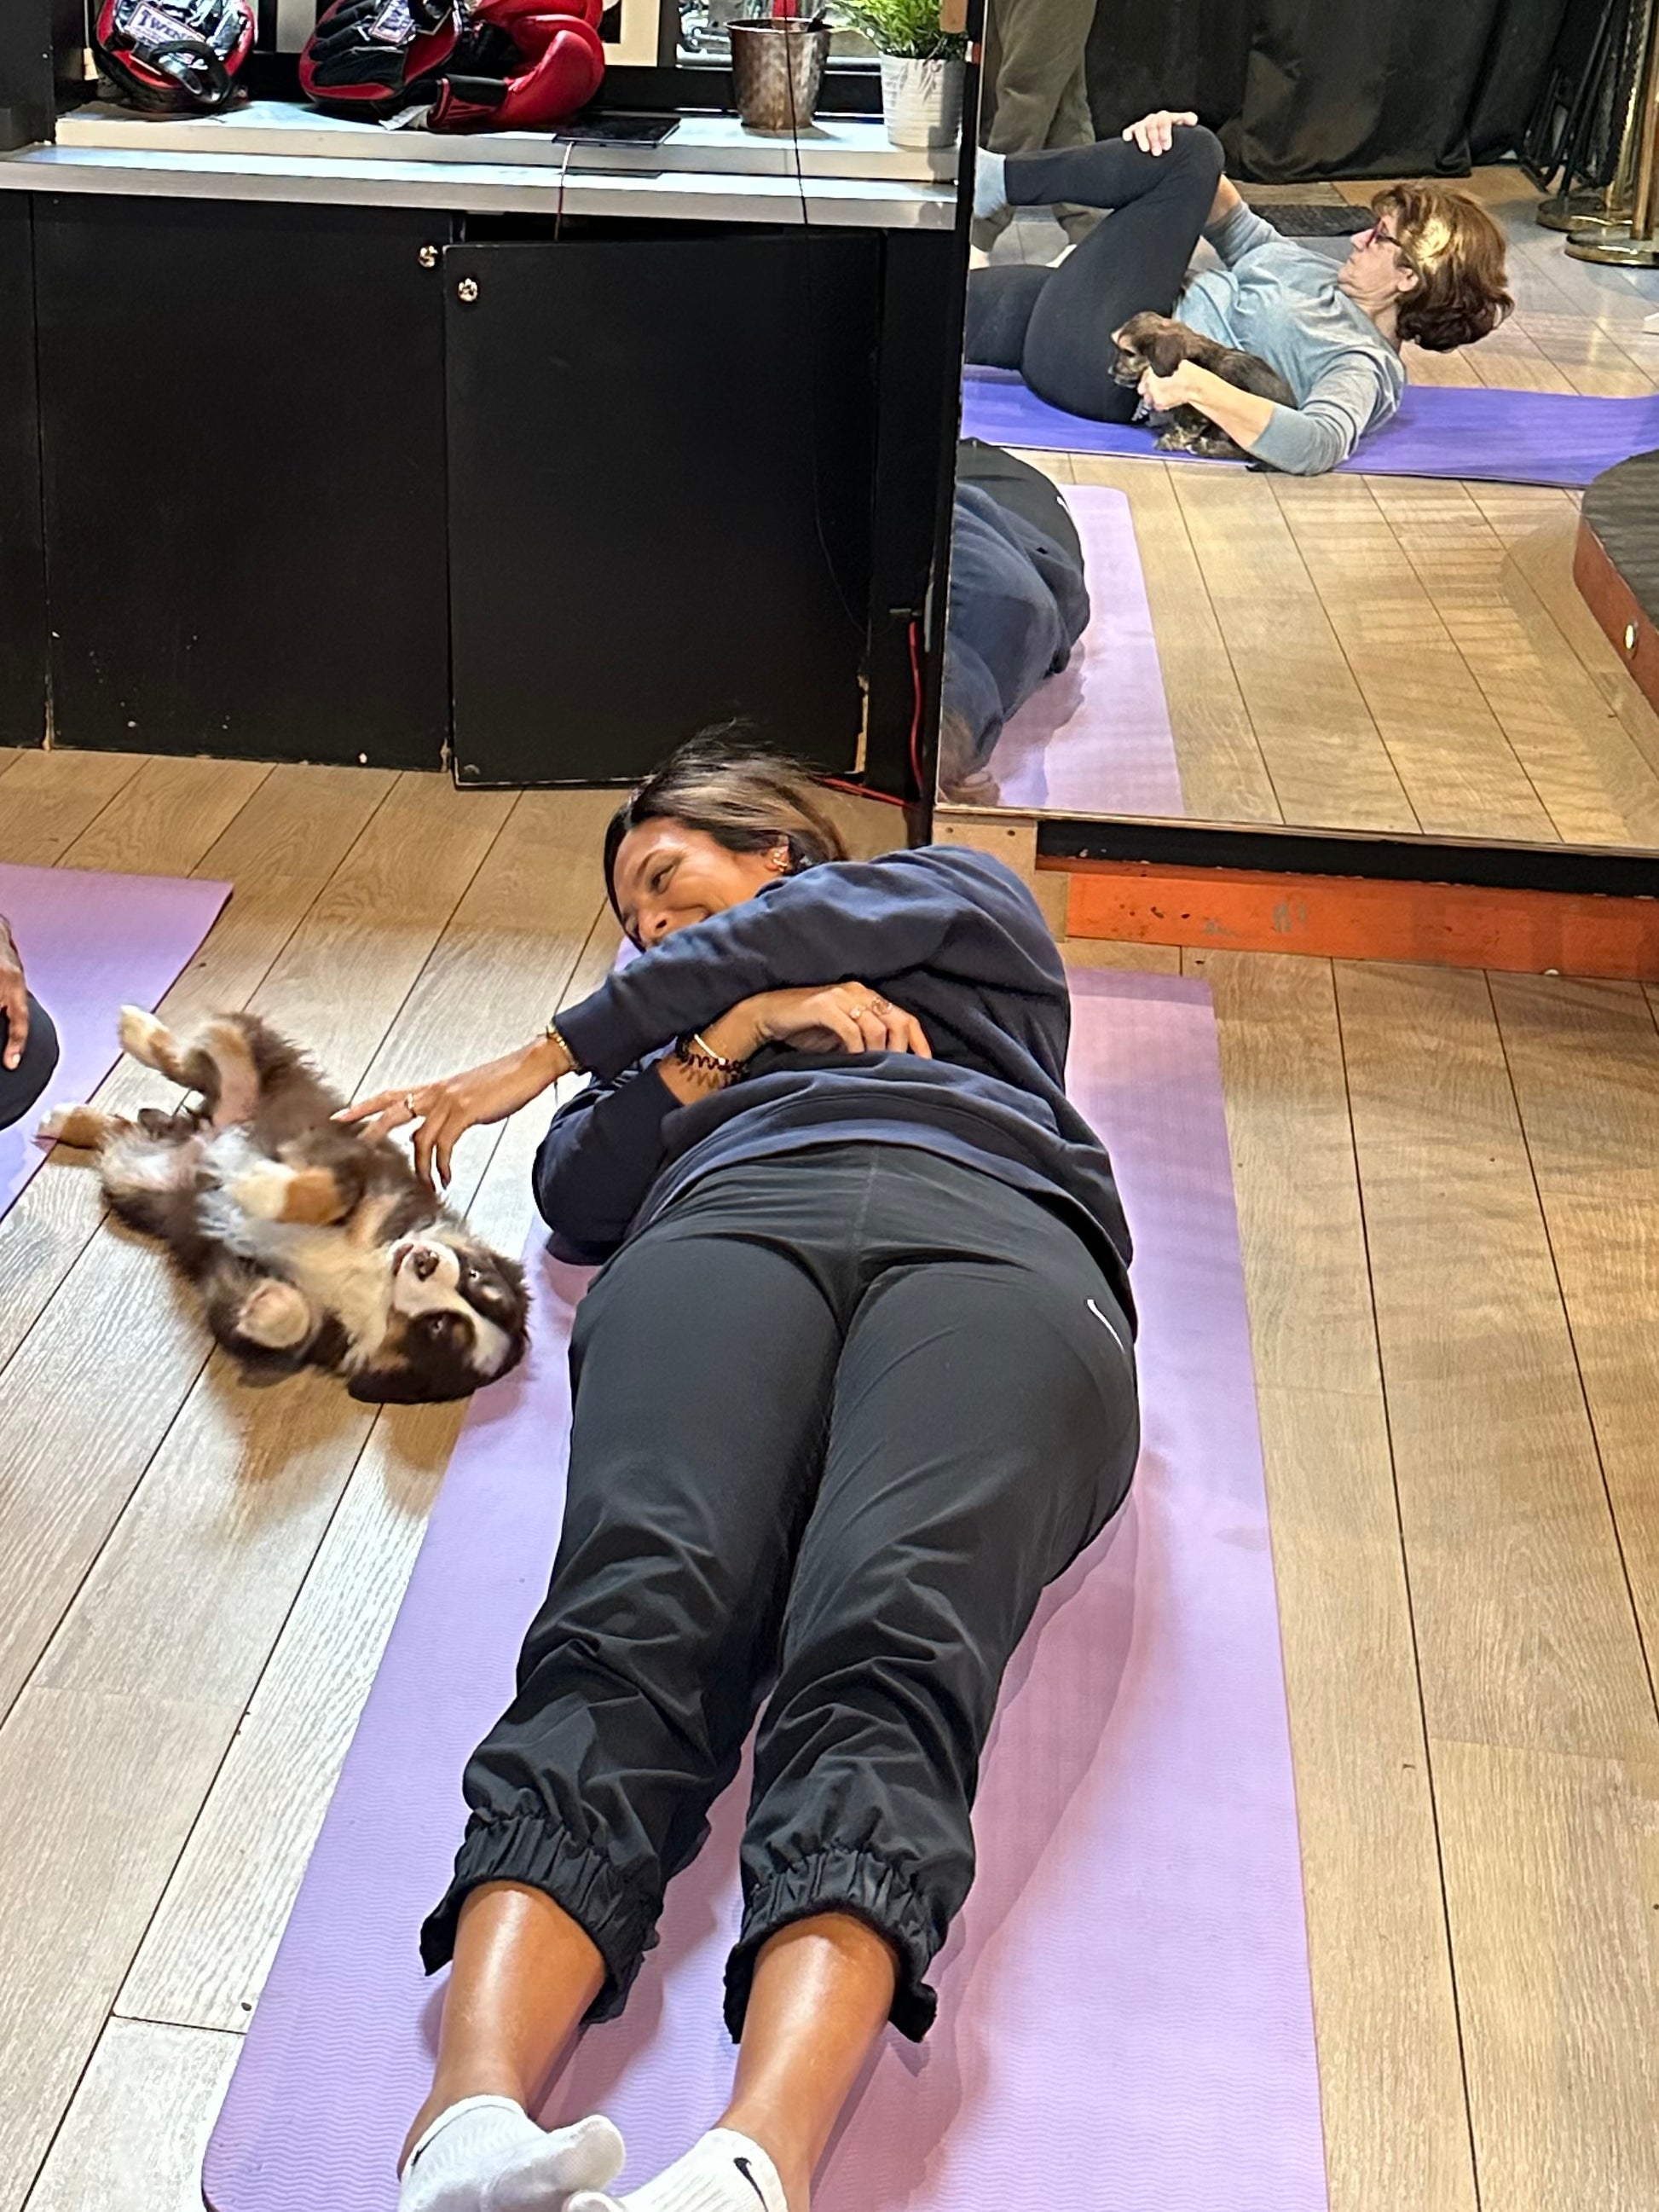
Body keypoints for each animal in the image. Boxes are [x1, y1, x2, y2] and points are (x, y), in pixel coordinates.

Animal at [40, 1007, 529, 1402]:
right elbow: (329, 1192)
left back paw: (64, 1118)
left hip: (134, 1179)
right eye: (475, 1275)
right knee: (207, 1048)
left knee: (117, 1133)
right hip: (256, 1069)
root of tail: (195, 1131)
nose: (425, 1259)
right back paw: (136, 1028)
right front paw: (256, 1185)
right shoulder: (358, 1163)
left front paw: (265, 1307)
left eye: (437, 1328)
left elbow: (286, 1322)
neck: (373, 1278)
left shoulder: (271, 1303)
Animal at [1112, 312, 1296, 462]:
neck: (1189, 358)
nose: (1111, 372)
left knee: (1245, 451)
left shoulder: (1196, 411)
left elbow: (1186, 427)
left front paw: (1170, 440)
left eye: (1129, 353)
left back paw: (1204, 447)